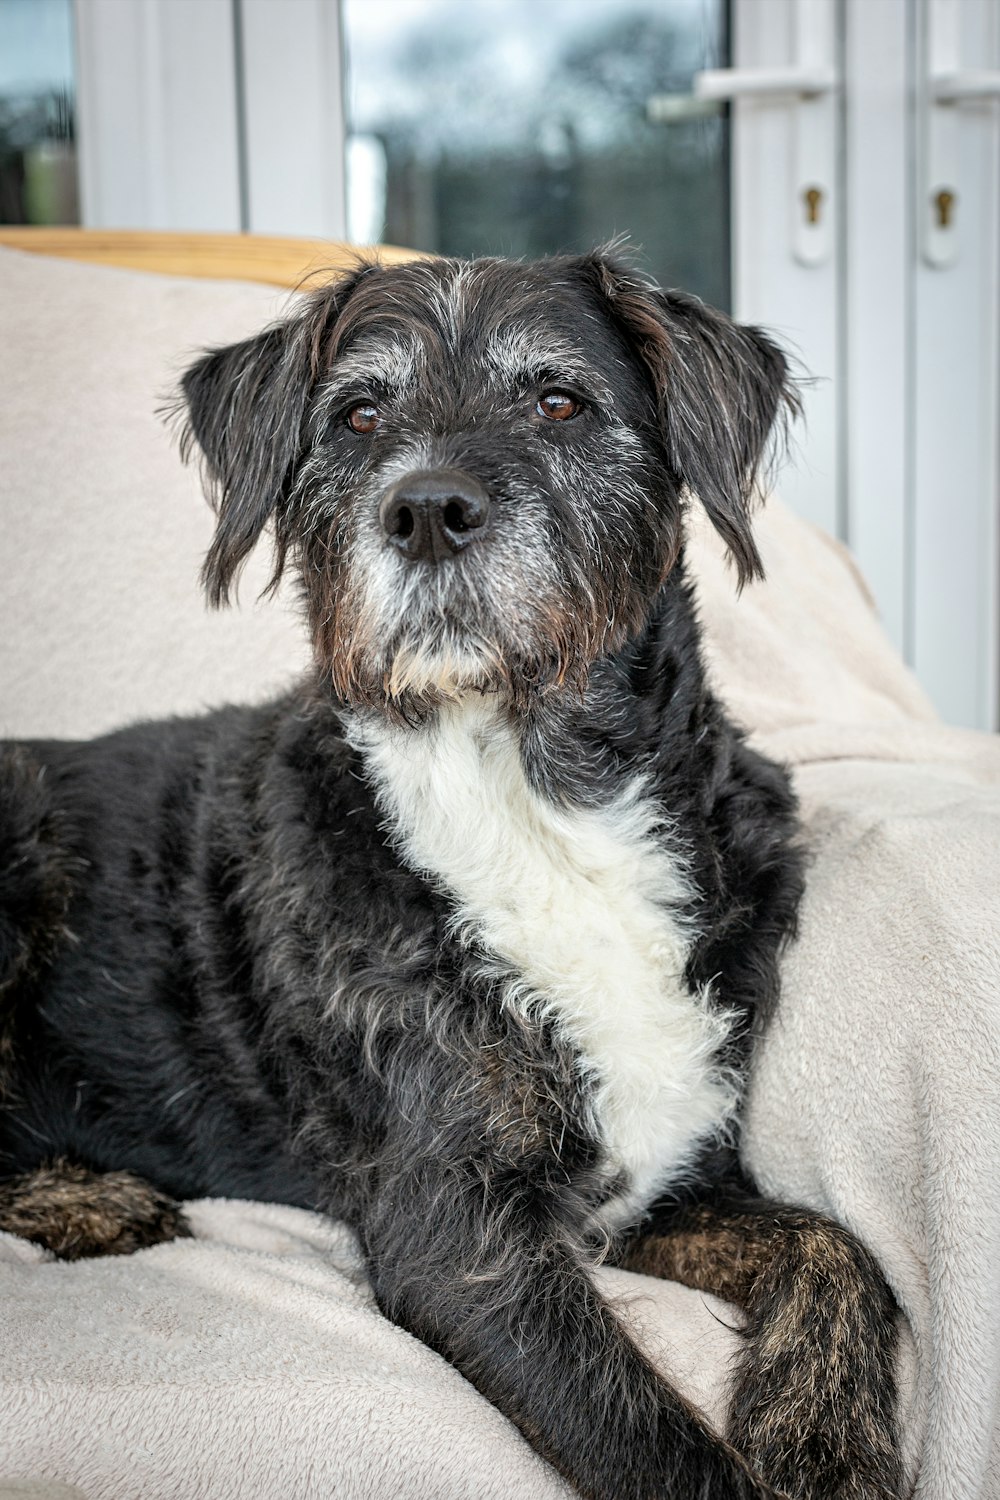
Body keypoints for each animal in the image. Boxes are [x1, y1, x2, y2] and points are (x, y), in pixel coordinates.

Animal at [0, 252, 905, 1494]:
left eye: (559, 400)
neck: (535, 803)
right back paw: (88, 1197)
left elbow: (837, 1244)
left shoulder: (662, 1176)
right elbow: (652, 1445)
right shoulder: (457, 1237)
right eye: (357, 415)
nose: (426, 510)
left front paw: (820, 1436)